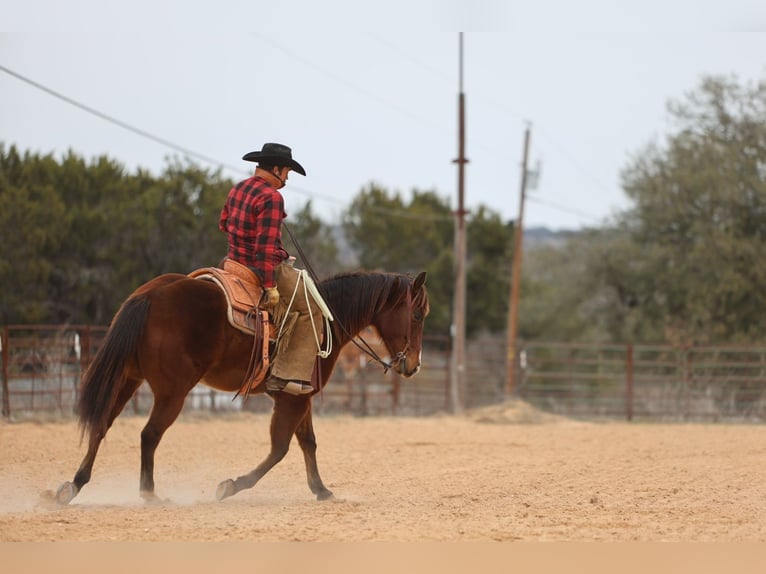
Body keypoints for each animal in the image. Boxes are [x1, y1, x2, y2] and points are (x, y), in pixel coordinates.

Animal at [56, 270, 428, 504]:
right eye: (418, 314)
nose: (413, 365)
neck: (324, 320)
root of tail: (150, 295)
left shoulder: (299, 395)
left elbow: (307, 443)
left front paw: (321, 490)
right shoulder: (292, 400)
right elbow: (280, 449)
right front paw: (231, 486)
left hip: (128, 379)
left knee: (102, 424)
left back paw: (73, 485)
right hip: (172, 392)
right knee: (149, 435)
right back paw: (150, 494)